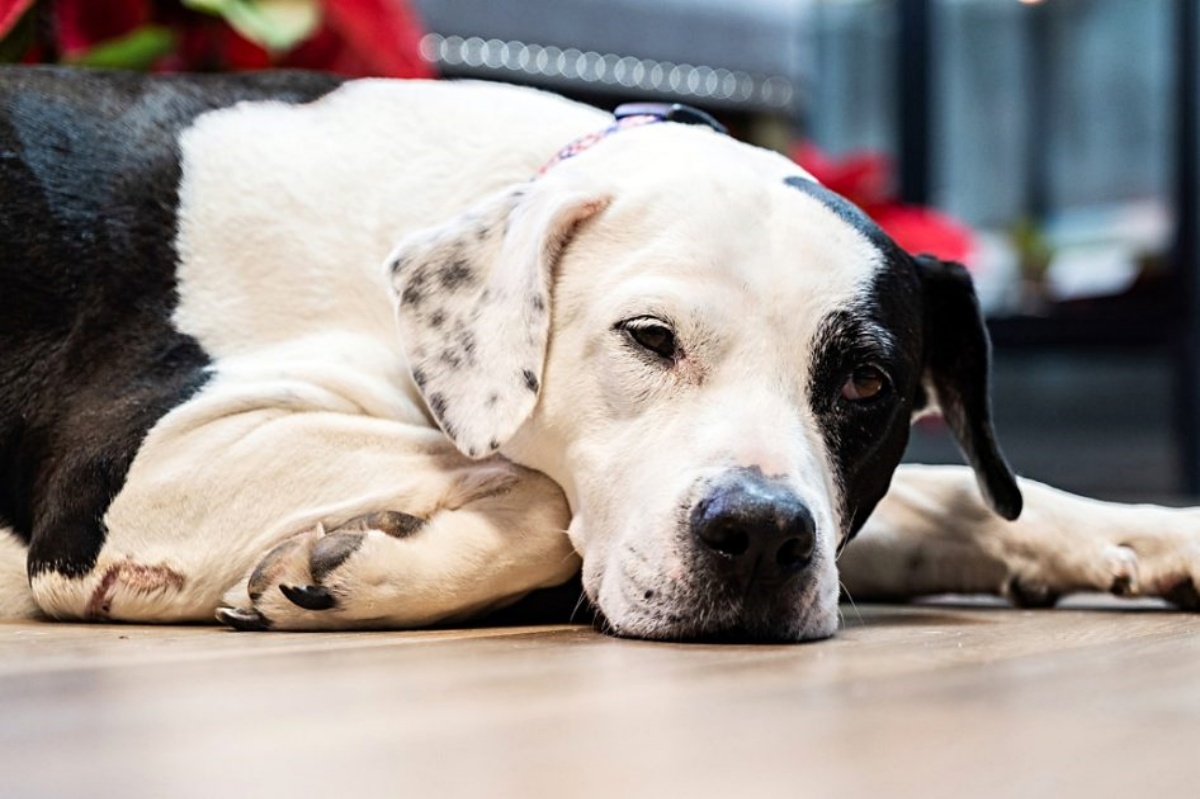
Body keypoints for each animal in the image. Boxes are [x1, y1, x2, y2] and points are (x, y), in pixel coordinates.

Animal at [2, 66, 1200, 643]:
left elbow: (961, 496)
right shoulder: (141, 470)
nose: (763, 536)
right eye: (649, 339)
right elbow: (540, 496)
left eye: (868, 381)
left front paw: (1150, 535)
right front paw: (362, 565)